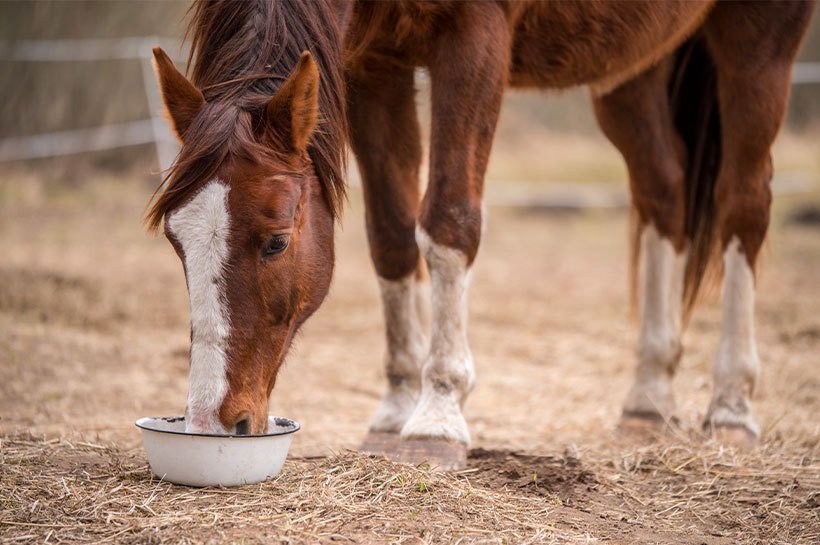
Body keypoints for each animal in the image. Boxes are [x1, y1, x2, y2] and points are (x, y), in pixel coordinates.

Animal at [147, 1, 812, 468]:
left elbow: (447, 220)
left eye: (277, 241)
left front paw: (437, 417)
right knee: (663, 192)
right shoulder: (374, 64)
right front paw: (394, 409)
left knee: (744, 204)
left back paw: (732, 408)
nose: (213, 424)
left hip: (758, 43)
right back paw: (648, 397)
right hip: (633, 68)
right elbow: (391, 235)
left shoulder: (474, 39)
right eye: (177, 242)